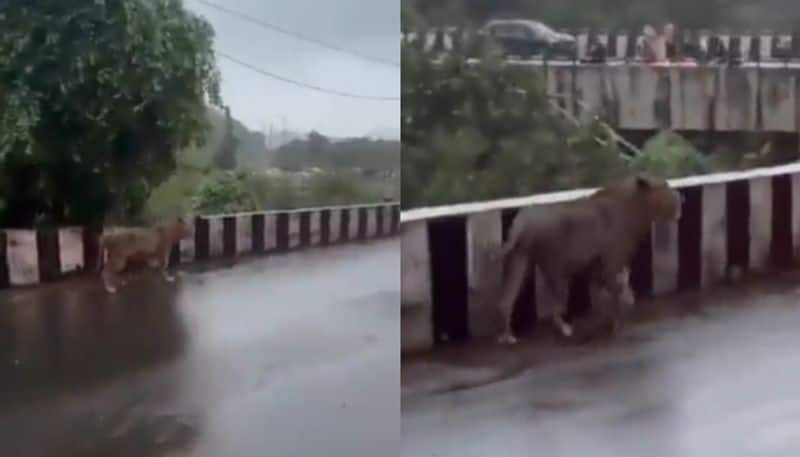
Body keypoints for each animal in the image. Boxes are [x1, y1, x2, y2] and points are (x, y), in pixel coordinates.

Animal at [500, 174, 680, 342]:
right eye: (665, 185)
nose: (681, 198)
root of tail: (522, 221)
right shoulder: (611, 262)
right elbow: (614, 292)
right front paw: (618, 323)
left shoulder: (596, 266)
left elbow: (604, 294)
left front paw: (615, 312)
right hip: (555, 267)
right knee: (555, 306)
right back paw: (565, 329)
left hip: (520, 259)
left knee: (507, 299)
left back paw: (508, 336)